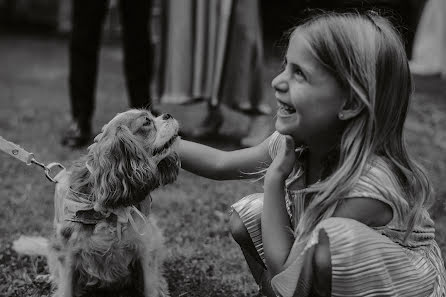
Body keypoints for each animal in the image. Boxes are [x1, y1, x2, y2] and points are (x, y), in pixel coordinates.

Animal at [48, 109, 180, 296]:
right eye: (147, 122)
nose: (168, 114)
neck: (111, 209)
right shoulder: (67, 253)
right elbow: (66, 290)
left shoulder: (145, 248)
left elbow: (150, 287)